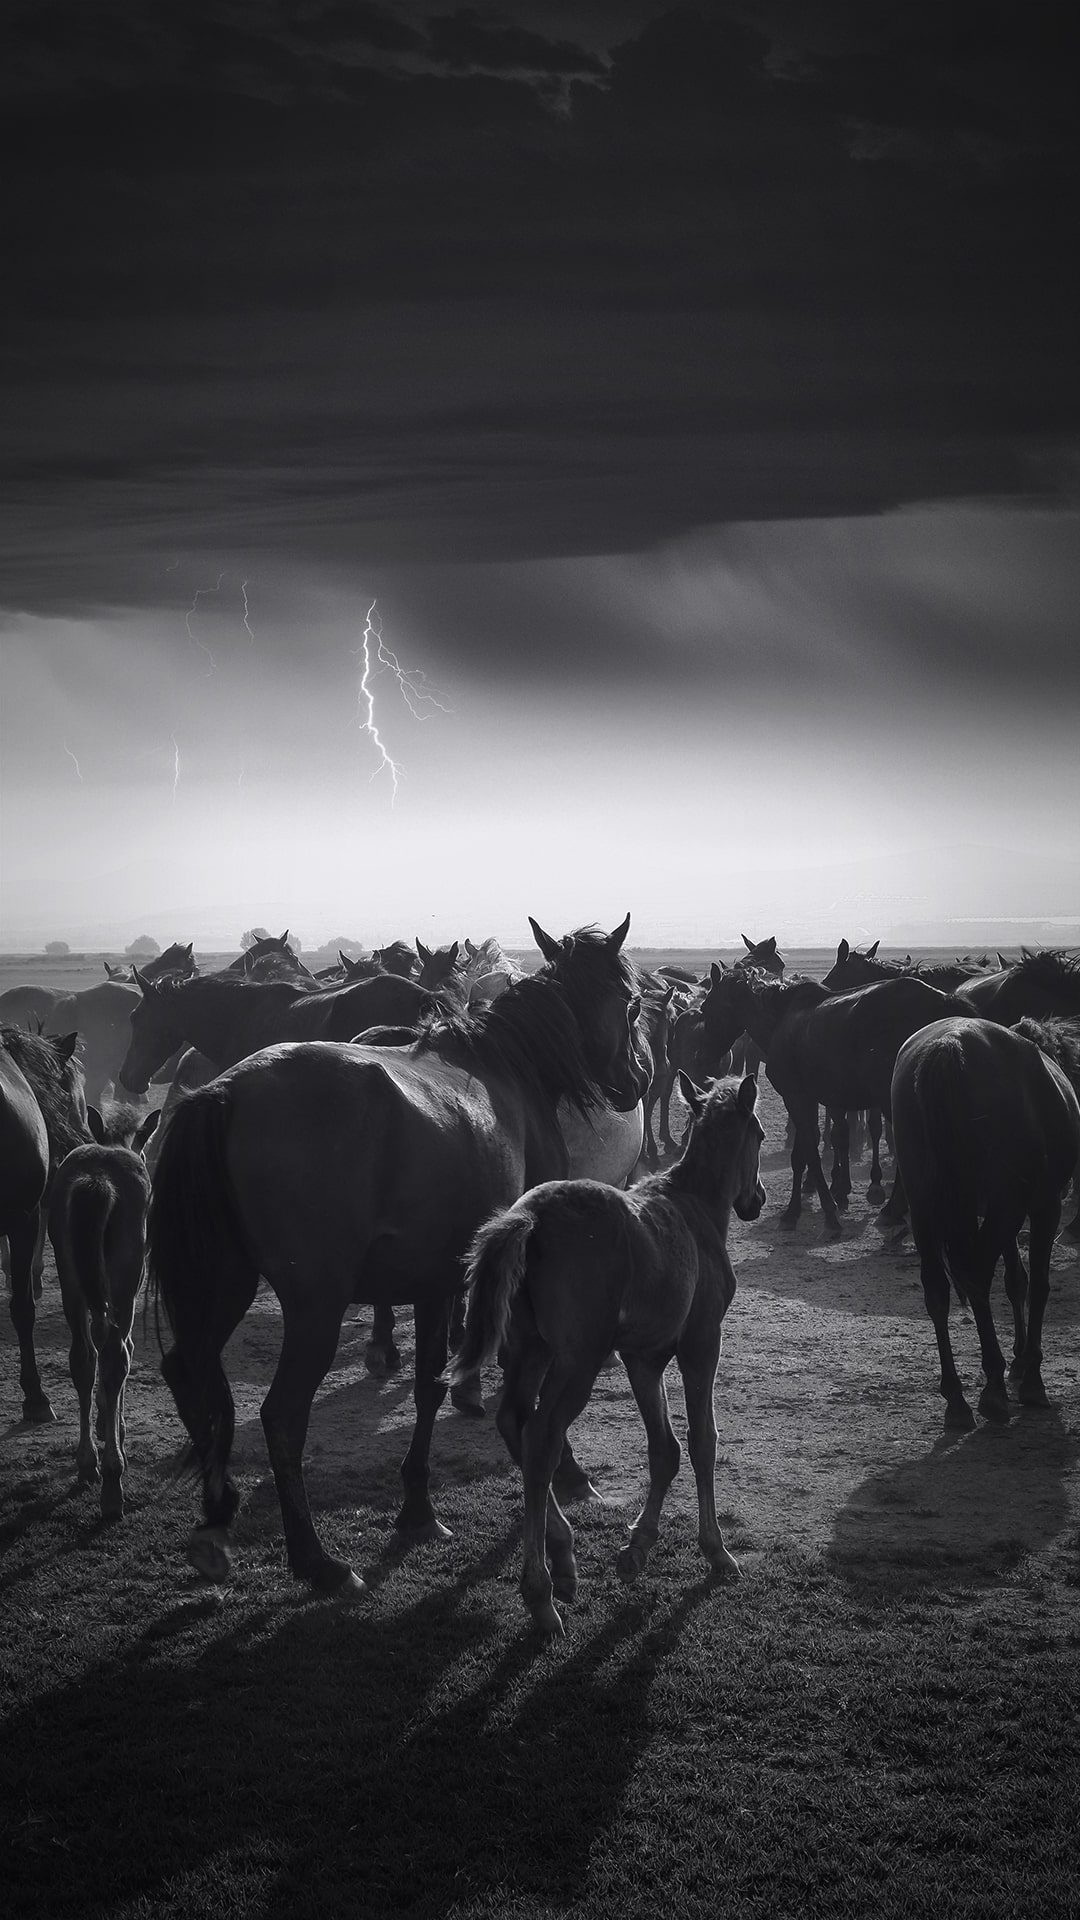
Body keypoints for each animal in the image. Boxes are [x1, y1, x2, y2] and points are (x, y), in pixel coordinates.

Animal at [46, 1107, 159, 1515]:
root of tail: (97, 1180)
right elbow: (122, 1350)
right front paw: (116, 1428)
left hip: (71, 1281)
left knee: (83, 1357)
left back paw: (87, 1463)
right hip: (124, 1283)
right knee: (113, 1357)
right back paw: (112, 1480)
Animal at [146, 915, 649, 1595]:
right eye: (632, 1003)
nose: (636, 1082)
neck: (508, 1073)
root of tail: (224, 1091)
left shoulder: (437, 1280)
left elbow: (430, 1385)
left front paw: (417, 1508)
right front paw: (564, 1472)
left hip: (225, 1283)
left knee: (187, 1369)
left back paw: (219, 1512)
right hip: (315, 1305)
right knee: (282, 1416)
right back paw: (316, 1561)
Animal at [450, 1072, 765, 1636]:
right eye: (763, 1135)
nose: (759, 1198)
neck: (694, 1209)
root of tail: (528, 1216)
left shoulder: (644, 1358)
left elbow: (664, 1448)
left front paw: (637, 1547)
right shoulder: (701, 1342)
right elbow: (701, 1440)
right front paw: (716, 1551)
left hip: (532, 1351)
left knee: (515, 1422)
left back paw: (563, 1555)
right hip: (577, 1361)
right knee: (543, 1437)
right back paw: (541, 1592)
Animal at [700, 966, 964, 1232]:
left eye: (705, 1006)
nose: (705, 1056)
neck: (780, 1020)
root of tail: (942, 1000)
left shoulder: (795, 1098)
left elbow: (811, 1154)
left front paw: (828, 1213)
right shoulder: (807, 1099)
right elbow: (802, 1154)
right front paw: (794, 1211)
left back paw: (891, 1210)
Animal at [891, 1018, 1080, 1430]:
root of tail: (950, 1045)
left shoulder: (998, 1209)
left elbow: (1016, 1281)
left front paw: (1020, 1360)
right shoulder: (1041, 1207)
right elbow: (1037, 1284)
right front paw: (1030, 1373)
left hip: (925, 1204)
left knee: (938, 1289)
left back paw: (957, 1397)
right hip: (1003, 1205)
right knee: (976, 1273)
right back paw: (992, 1385)